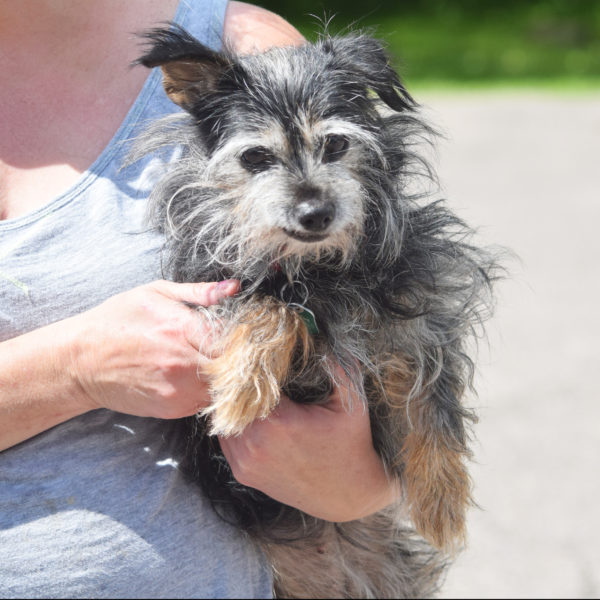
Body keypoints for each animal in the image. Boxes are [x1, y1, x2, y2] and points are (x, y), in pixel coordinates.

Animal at [134, 27, 500, 600]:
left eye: (336, 144)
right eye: (255, 157)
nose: (315, 212)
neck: (318, 270)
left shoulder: (416, 321)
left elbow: (431, 401)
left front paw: (442, 503)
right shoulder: (215, 289)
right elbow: (269, 307)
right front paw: (241, 387)